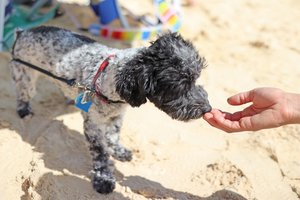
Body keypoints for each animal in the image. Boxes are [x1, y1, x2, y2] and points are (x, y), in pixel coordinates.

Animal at [9, 25, 211, 193]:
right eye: (180, 87)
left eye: (195, 79)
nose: (207, 109)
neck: (110, 78)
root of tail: (23, 32)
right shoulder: (94, 125)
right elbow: (101, 154)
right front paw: (103, 180)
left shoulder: (117, 116)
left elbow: (113, 135)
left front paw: (119, 151)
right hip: (25, 74)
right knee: (23, 94)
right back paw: (24, 111)